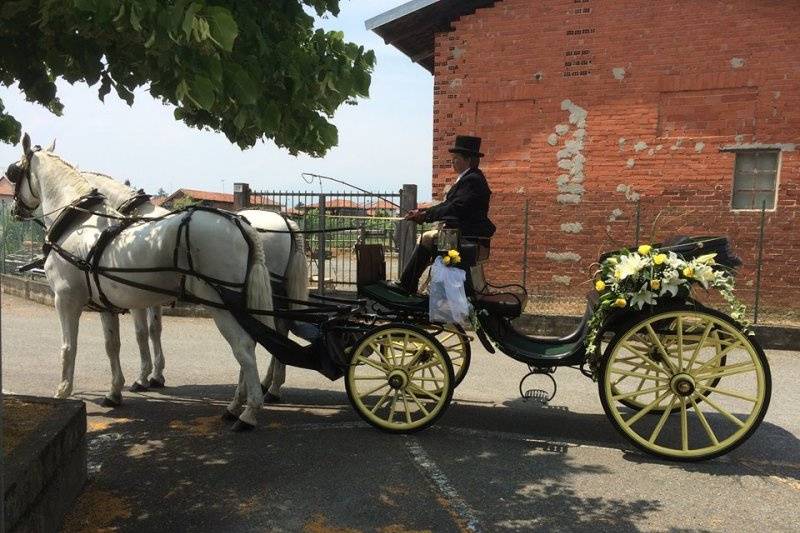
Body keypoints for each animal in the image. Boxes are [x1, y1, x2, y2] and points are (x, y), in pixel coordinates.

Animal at [6, 135, 276, 430]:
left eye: (12, 172)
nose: (14, 210)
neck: (79, 223)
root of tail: (240, 224)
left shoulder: (65, 301)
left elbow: (69, 347)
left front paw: (63, 392)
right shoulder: (106, 306)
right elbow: (112, 346)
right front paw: (115, 392)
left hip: (221, 305)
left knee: (244, 348)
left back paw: (248, 412)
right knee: (249, 346)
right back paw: (237, 405)